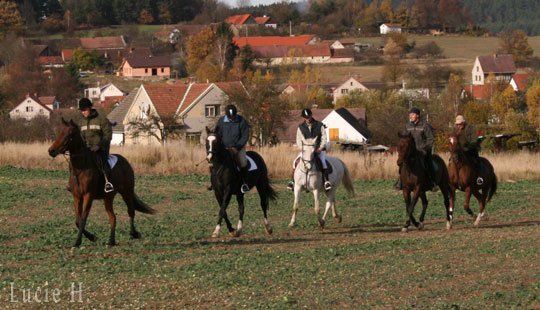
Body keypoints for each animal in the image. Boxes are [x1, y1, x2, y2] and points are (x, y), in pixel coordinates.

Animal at [48, 117, 156, 248]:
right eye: (59, 132)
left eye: (69, 134)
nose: (51, 151)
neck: (81, 169)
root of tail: (125, 161)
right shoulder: (77, 196)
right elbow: (78, 220)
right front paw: (92, 237)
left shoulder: (88, 195)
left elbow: (83, 218)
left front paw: (78, 242)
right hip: (108, 198)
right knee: (112, 217)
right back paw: (111, 241)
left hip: (127, 192)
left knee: (131, 211)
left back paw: (134, 233)